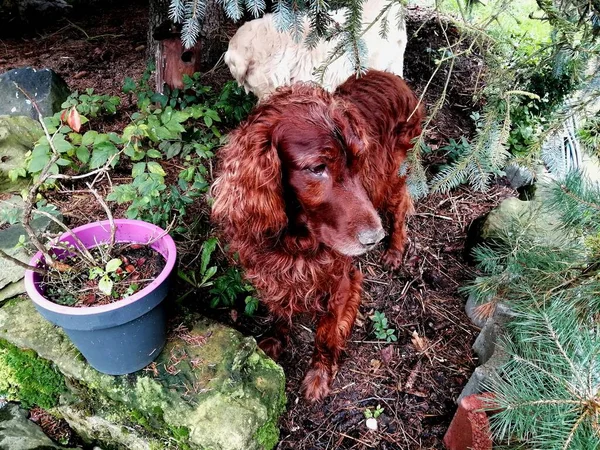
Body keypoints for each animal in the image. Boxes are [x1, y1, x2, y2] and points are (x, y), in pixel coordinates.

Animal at [213, 69, 424, 400]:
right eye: (317, 168)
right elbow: (280, 312)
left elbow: (326, 334)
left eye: (357, 161)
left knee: (400, 203)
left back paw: (394, 249)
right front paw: (274, 342)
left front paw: (319, 376)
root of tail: (392, 77)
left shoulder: (340, 283)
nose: (373, 238)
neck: (298, 238)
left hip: (391, 174)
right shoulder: (272, 274)